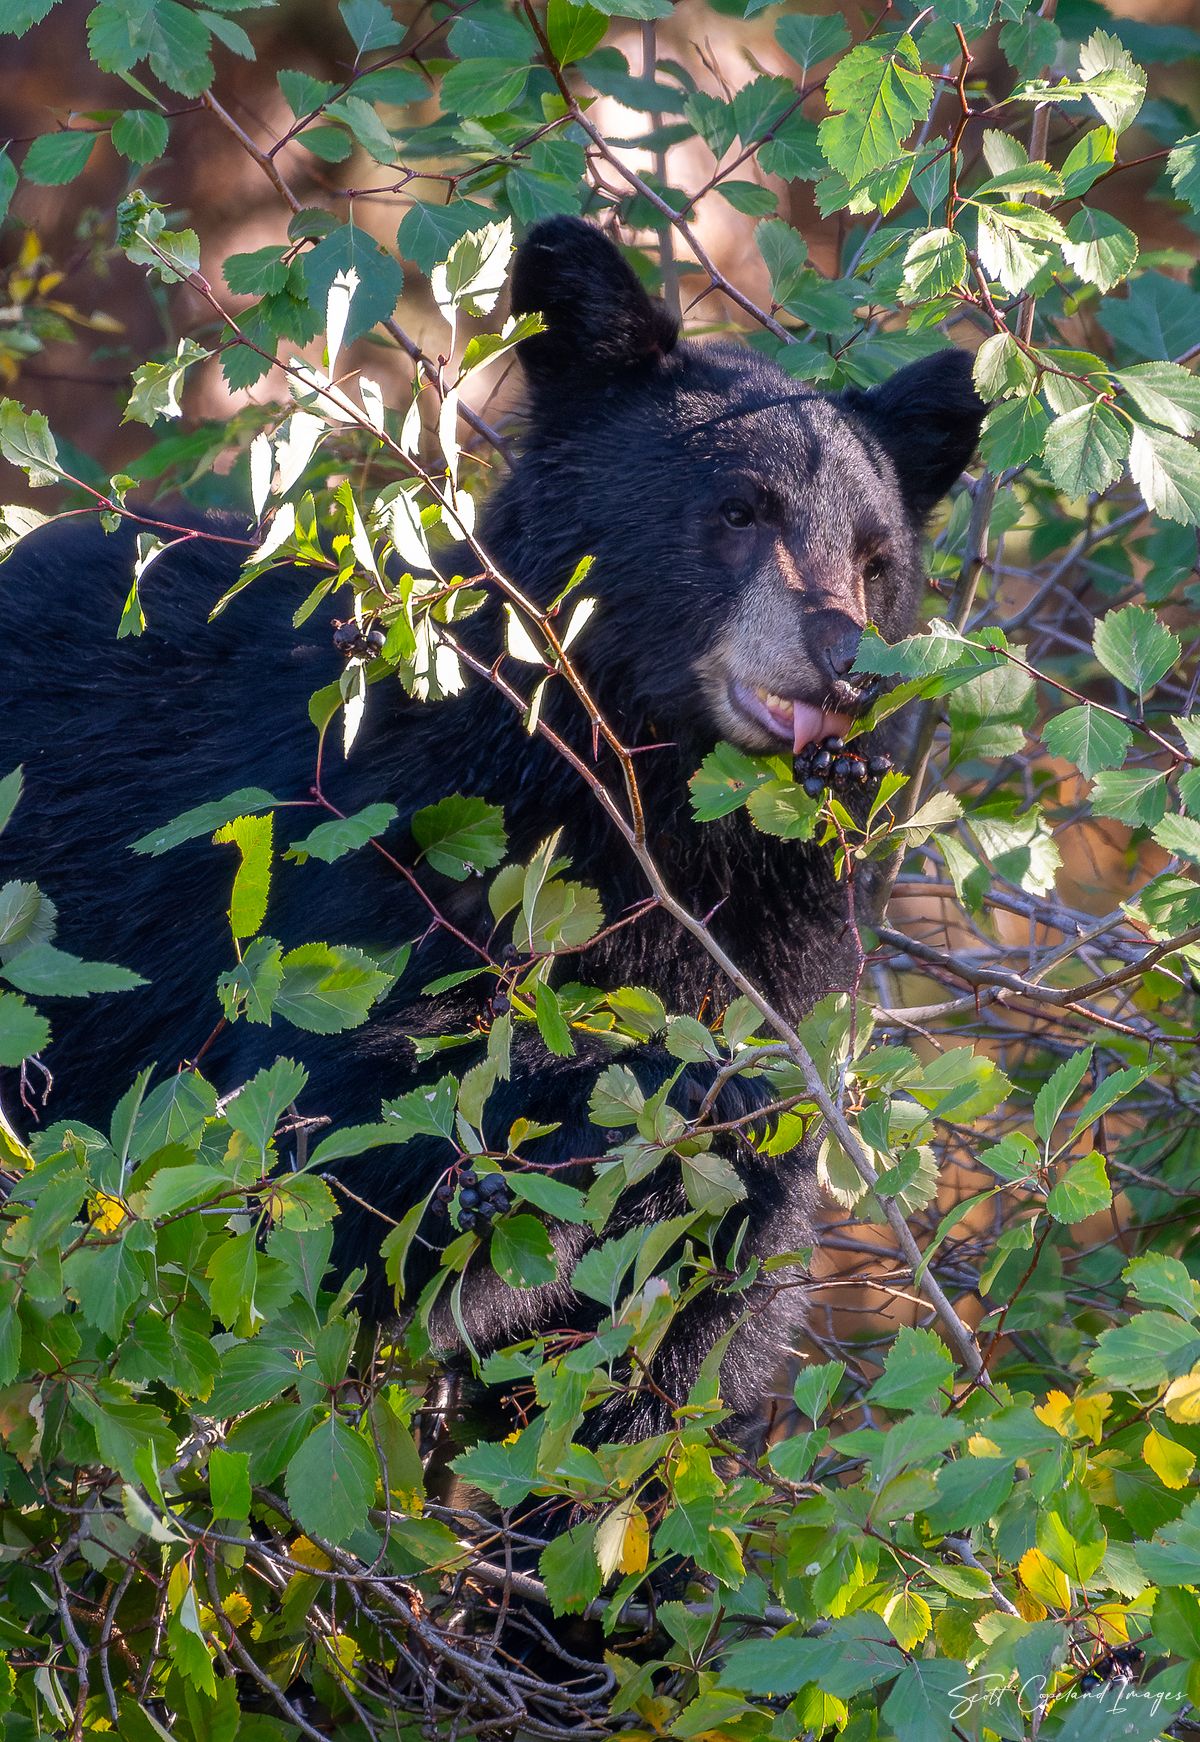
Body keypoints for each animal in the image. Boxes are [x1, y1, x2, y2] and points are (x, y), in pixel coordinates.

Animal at [0, 215, 985, 1443]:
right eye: (739, 509)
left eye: (873, 555)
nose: (850, 664)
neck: (658, 822)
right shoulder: (396, 855)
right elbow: (332, 1130)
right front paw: (627, 1111)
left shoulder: (781, 958)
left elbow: (694, 1334)